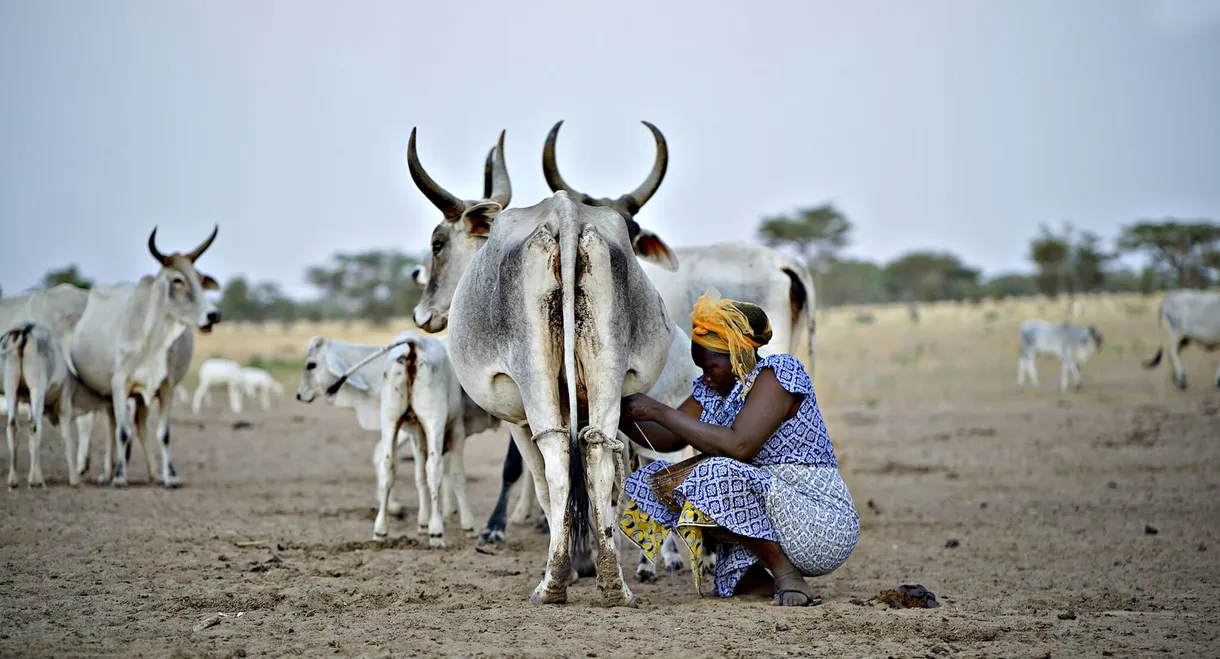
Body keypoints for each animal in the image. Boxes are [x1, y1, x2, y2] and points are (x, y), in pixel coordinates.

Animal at [69, 224, 222, 485]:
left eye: (200, 279)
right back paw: (107, 473)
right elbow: (122, 432)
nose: (213, 315)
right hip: (106, 392)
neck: (151, 339)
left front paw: (170, 476)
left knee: (137, 426)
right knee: (110, 425)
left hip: (137, 397)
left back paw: (152, 473)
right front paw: (119, 477)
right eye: (178, 279)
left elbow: (163, 433)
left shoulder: (166, 386)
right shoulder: (119, 384)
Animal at [407, 125, 678, 607]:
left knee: (554, 461)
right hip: (609, 373)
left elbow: (534, 476)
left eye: (438, 243)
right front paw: (590, 557)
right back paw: (615, 583)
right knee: (598, 456)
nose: (423, 315)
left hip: (531, 378)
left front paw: (563, 559)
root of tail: (565, 218)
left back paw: (552, 583)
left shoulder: (514, 412)